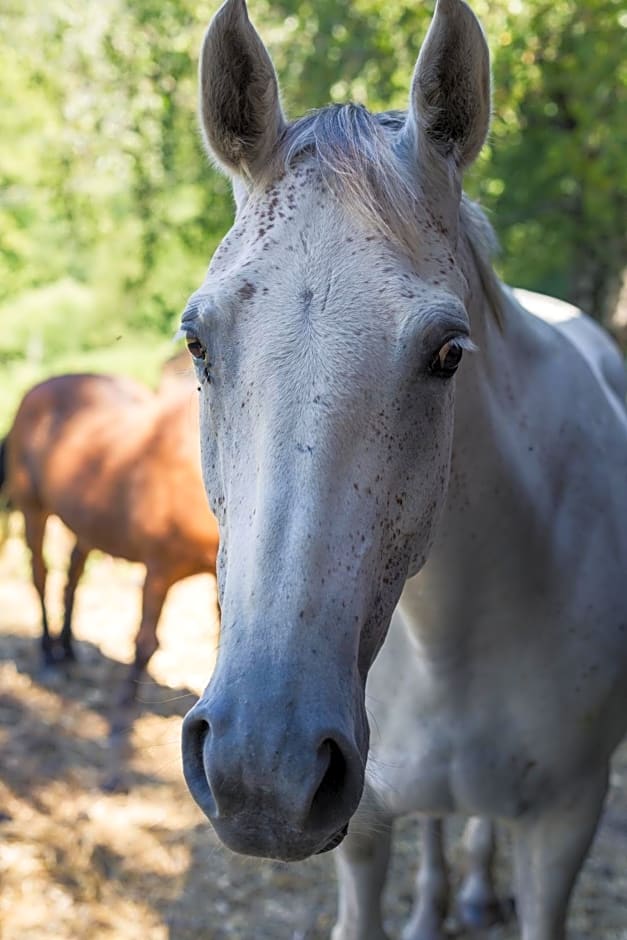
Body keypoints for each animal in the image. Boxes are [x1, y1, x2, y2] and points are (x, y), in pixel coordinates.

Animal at [0, 372, 220, 720]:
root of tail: (35, 391)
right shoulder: (159, 570)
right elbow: (145, 642)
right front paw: (123, 711)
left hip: (87, 524)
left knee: (72, 578)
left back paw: (68, 650)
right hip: (33, 511)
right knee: (40, 577)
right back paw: (49, 657)